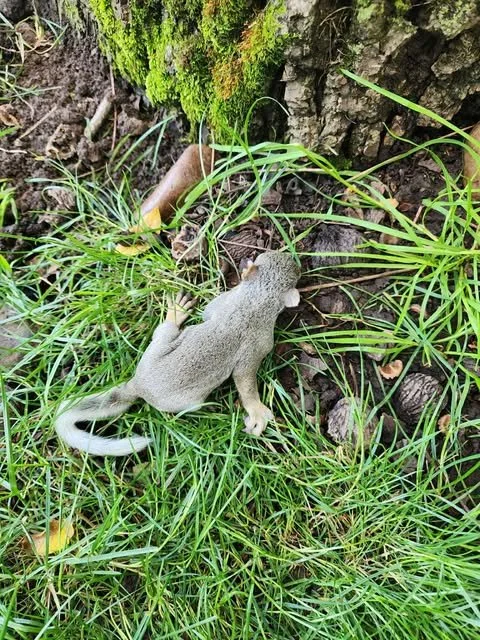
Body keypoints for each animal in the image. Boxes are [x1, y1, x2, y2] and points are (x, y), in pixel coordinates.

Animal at [54, 251, 301, 456]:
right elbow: (245, 381)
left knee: (164, 332)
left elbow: (208, 312)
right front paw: (257, 411)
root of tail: (138, 385)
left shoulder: (223, 302)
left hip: (156, 349)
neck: (255, 300)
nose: (294, 261)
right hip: (188, 402)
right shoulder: (257, 345)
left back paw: (175, 314)